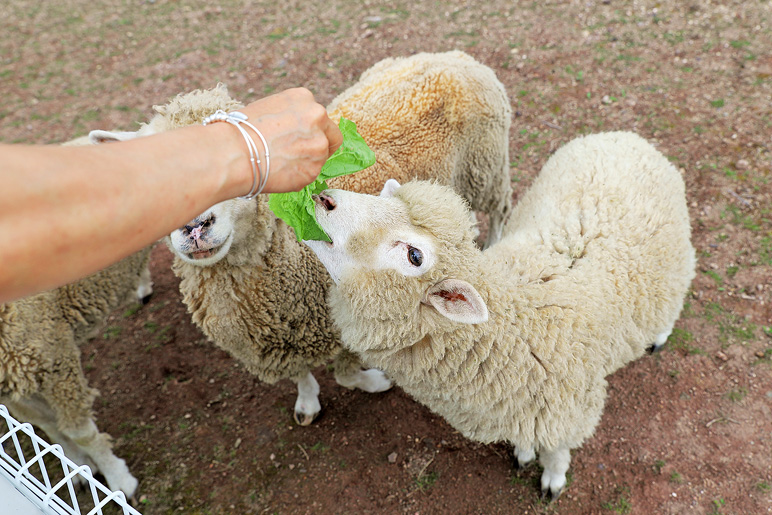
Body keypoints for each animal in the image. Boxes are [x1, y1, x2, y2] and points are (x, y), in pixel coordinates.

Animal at [0, 195, 154, 500]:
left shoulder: (54, 355)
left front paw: (118, 478)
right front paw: (79, 467)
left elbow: (79, 432)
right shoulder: (13, 388)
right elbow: (49, 427)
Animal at [90, 50, 512, 428]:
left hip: (486, 168)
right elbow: (301, 376)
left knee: (501, 208)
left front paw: (375, 382)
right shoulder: (280, 347)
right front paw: (307, 403)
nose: (195, 228)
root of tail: (451, 58)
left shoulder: (344, 325)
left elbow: (345, 375)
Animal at [306, 132, 700, 500]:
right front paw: (524, 452)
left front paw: (553, 479)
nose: (324, 198)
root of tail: (624, 137)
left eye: (414, 256)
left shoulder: (568, 412)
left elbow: (556, 451)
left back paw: (659, 336)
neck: (517, 330)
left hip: (673, 265)